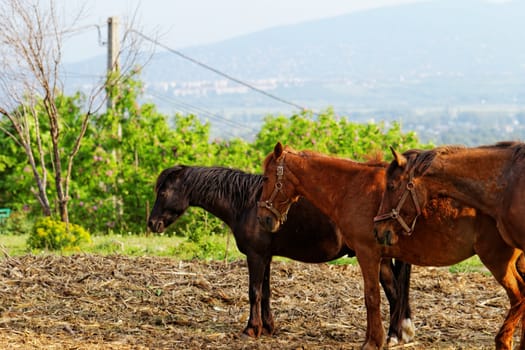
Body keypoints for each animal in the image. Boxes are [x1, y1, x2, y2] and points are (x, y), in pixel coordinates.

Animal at [146, 165, 414, 344]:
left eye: (163, 193)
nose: (152, 224)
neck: (247, 204)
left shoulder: (255, 256)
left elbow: (254, 292)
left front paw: (251, 329)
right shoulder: (265, 257)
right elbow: (265, 292)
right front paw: (267, 327)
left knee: (394, 293)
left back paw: (393, 337)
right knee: (395, 293)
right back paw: (397, 335)